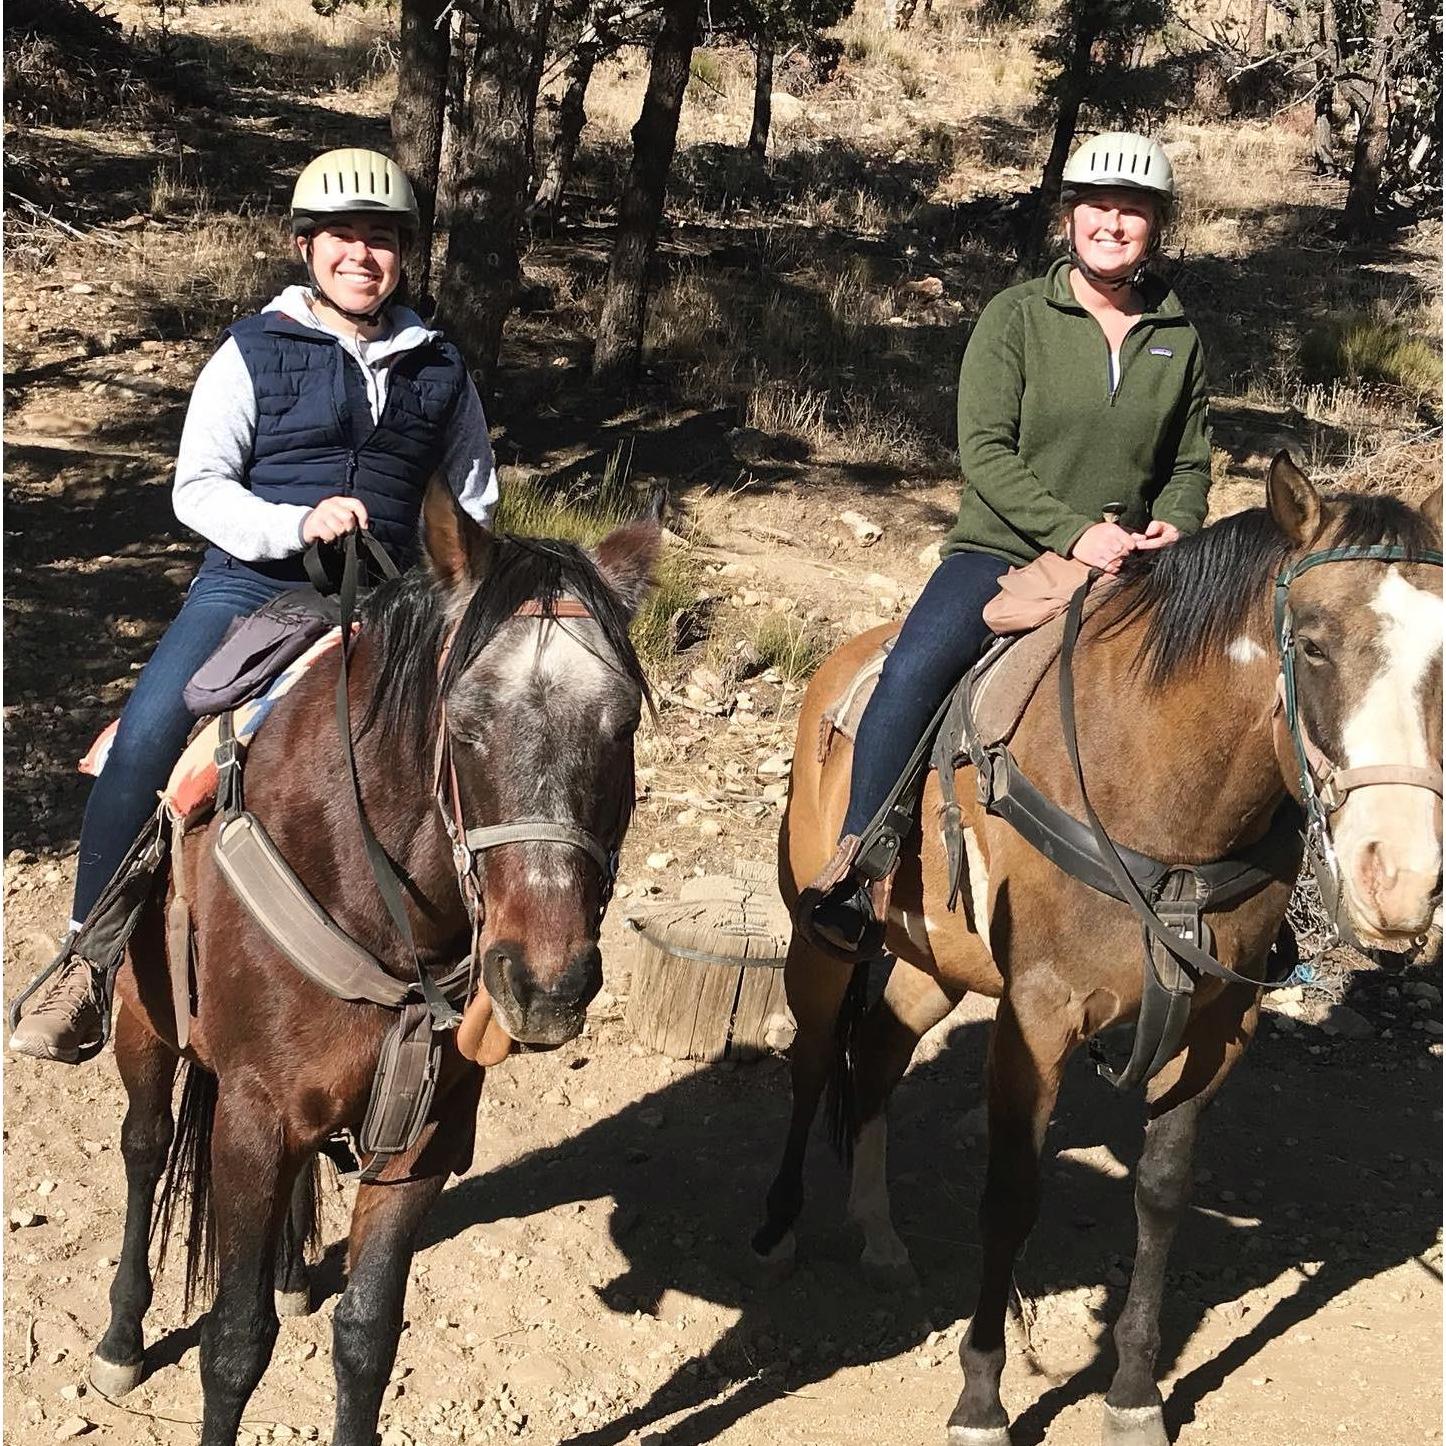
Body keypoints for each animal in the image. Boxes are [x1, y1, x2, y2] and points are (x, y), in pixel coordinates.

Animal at [84, 485, 662, 1446]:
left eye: (621, 729)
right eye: (464, 726)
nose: (544, 983)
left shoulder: (423, 1134)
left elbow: (367, 1336)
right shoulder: (251, 1120)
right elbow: (235, 1342)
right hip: (143, 1019)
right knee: (145, 1146)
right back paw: (122, 1336)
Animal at [751, 454, 1440, 1446]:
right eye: (1311, 645)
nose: (1401, 881)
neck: (1158, 794)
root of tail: (841, 666)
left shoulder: (1217, 1026)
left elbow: (1160, 1196)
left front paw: (1135, 1395)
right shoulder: (1037, 1016)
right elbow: (1012, 1196)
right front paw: (981, 1400)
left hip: (934, 962)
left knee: (878, 1050)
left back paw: (878, 1234)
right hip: (825, 940)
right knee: (812, 1063)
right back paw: (778, 1229)